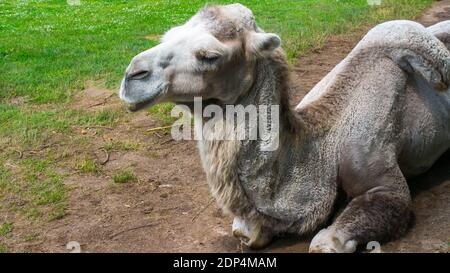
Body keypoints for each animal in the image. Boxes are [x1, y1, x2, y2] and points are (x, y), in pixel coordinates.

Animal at [118, 3, 448, 252]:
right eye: (169, 35)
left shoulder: (382, 178)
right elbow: (245, 232)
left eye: (209, 55)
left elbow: (327, 242)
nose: (132, 75)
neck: (323, 146)